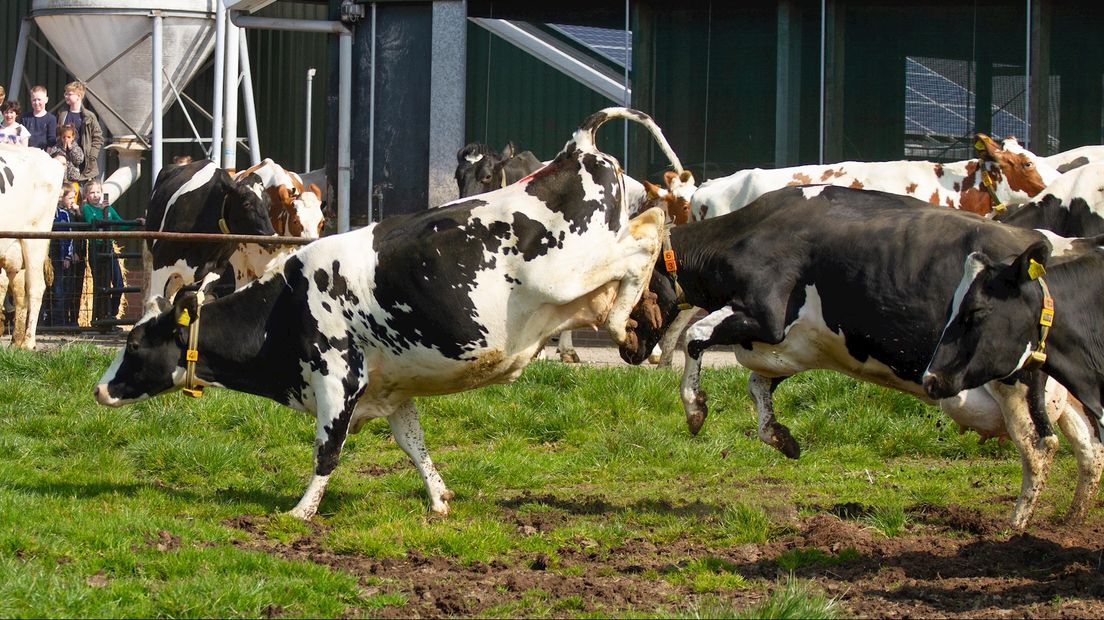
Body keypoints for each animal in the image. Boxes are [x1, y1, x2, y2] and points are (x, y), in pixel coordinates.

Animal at [622, 184, 1095, 525]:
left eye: (636, 281)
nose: (627, 350)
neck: (746, 234)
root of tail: (1050, 243)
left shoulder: (765, 316)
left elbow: (695, 336)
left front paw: (695, 410)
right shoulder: (790, 345)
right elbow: (758, 387)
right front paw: (782, 438)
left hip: (1015, 383)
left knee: (1040, 445)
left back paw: (1016, 526)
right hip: (1059, 391)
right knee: (1088, 447)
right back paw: (1074, 518)